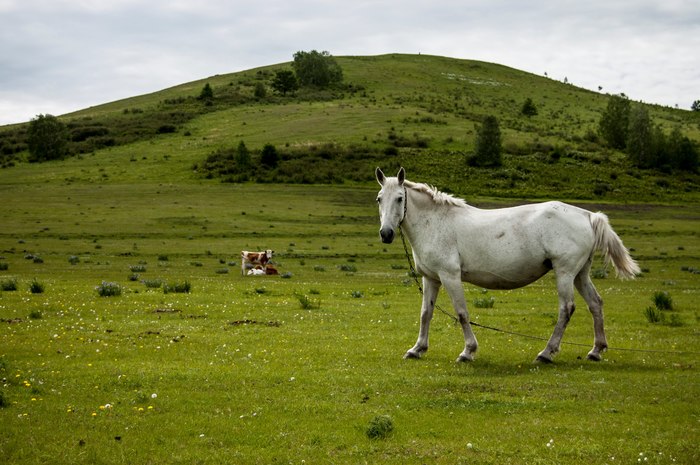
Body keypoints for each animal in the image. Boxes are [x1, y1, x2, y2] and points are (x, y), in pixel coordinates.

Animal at [378, 167, 640, 362]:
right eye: (379, 199)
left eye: (399, 198)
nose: (386, 233)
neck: (435, 222)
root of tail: (587, 215)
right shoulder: (431, 278)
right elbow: (426, 313)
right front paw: (417, 349)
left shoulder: (450, 276)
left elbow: (462, 313)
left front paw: (468, 351)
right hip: (580, 274)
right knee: (595, 304)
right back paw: (595, 350)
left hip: (565, 272)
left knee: (566, 308)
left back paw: (546, 353)